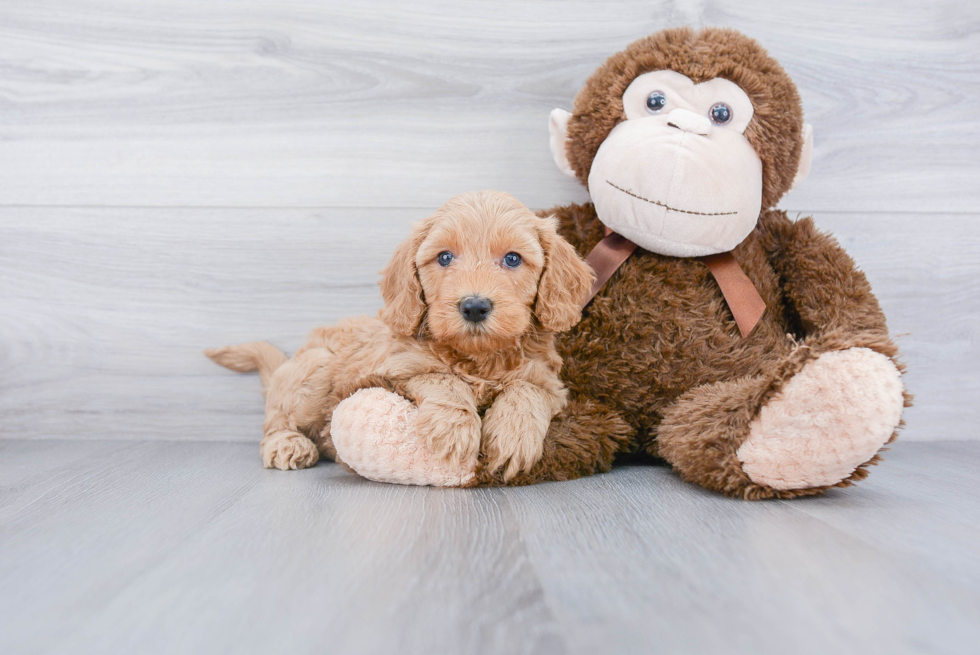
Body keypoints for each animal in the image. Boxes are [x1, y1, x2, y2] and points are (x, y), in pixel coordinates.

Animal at [208, 190, 592, 482]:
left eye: (513, 259)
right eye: (445, 257)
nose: (474, 306)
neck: (477, 358)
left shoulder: (548, 382)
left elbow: (527, 391)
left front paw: (513, 437)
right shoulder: (394, 369)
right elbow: (443, 378)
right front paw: (455, 429)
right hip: (314, 371)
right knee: (276, 419)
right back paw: (288, 443)